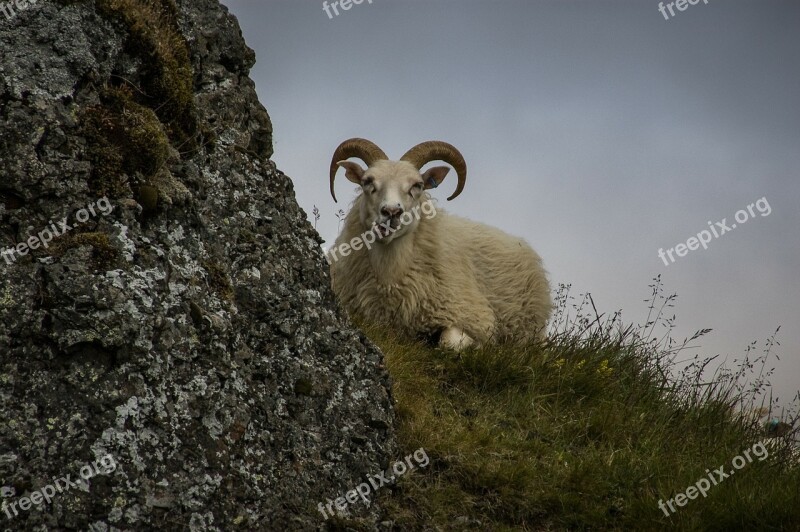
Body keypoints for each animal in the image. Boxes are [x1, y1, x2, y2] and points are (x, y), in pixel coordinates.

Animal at [328, 137, 552, 350]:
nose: (391, 212)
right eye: (367, 181)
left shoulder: (472, 315)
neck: (389, 277)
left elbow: (451, 341)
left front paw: (479, 346)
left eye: (417, 185)